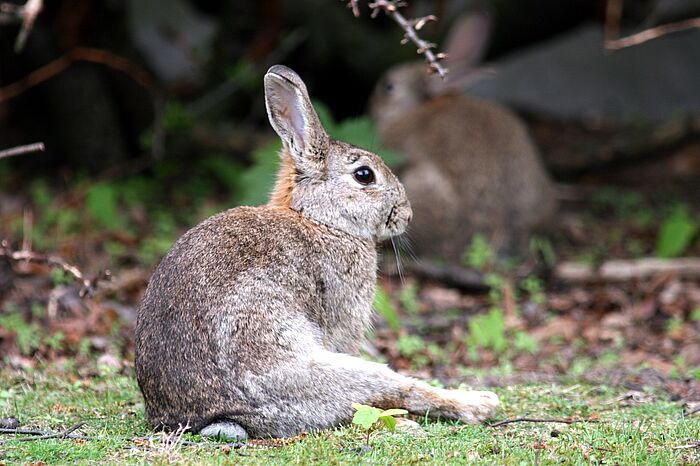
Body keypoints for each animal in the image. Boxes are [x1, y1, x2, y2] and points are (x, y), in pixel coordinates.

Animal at [135, 63, 498, 438]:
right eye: (364, 175)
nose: (406, 215)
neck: (321, 220)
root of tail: (218, 416)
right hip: (326, 370)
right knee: (390, 393)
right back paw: (476, 405)